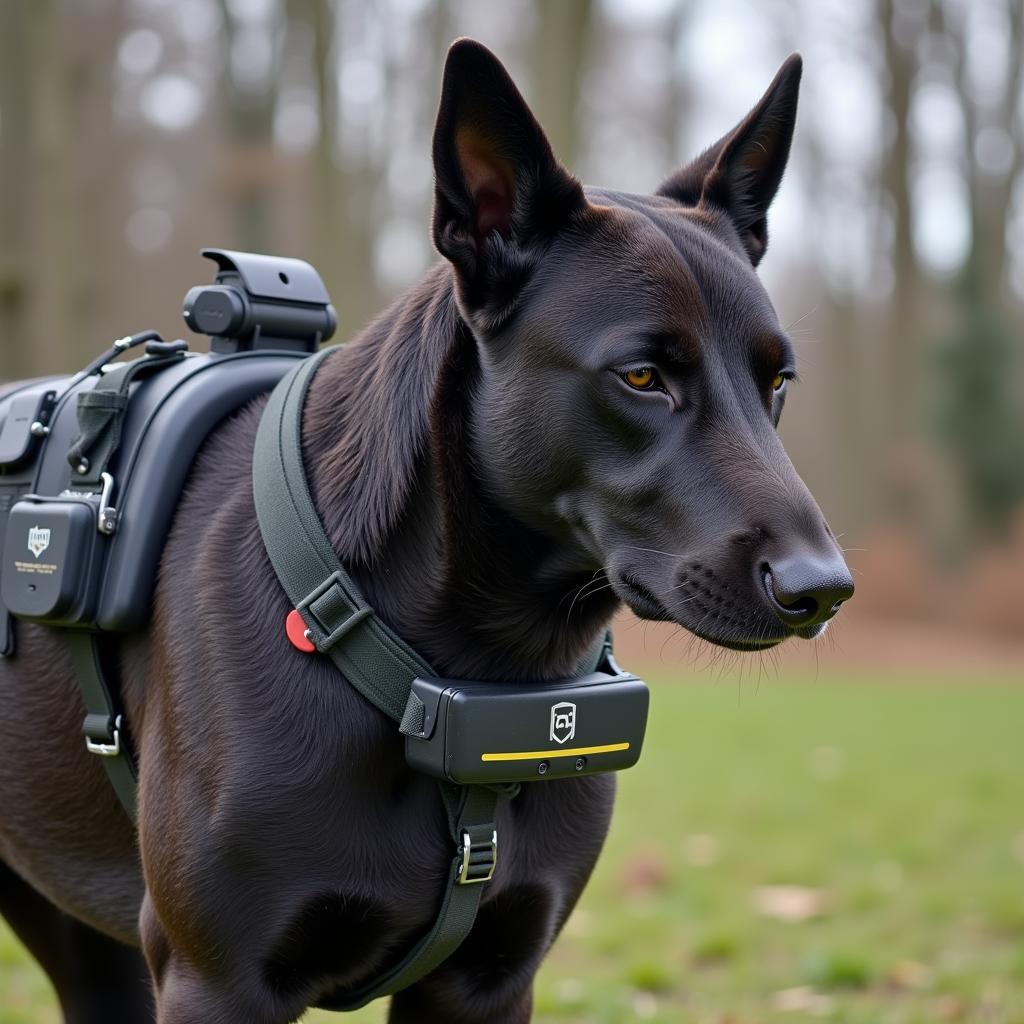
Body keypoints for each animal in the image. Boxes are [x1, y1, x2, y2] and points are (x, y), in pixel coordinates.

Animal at [0, 37, 847, 1024]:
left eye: (777, 382)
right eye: (641, 376)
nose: (823, 591)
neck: (471, 670)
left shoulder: (490, 980)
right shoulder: (218, 979)